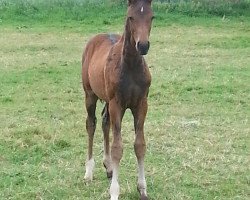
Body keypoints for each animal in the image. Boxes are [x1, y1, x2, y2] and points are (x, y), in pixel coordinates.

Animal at [81, 0, 154, 199]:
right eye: (131, 17)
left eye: (152, 16)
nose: (142, 45)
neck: (130, 65)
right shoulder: (117, 104)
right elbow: (117, 148)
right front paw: (114, 192)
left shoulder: (141, 104)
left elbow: (140, 145)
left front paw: (142, 188)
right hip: (90, 94)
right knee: (91, 124)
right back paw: (88, 172)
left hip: (107, 100)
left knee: (105, 122)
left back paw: (108, 167)